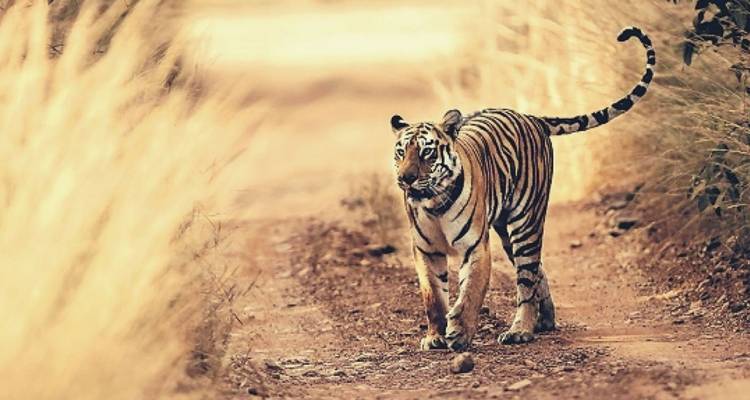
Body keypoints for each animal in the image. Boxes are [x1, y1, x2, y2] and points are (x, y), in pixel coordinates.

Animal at [390, 27, 655, 351]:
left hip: (526, 224)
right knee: (536, 270)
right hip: (506, 230)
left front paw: (460, 333)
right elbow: (433, 297)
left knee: (526, 280)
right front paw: (435, 336)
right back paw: (545, 319)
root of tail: (533, 118)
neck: (434, 202)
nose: (406, 178)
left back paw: (521, 330)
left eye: (426, 153)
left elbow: (470, 292)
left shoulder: (475, 247)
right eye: (401, 152)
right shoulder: (425, 250)